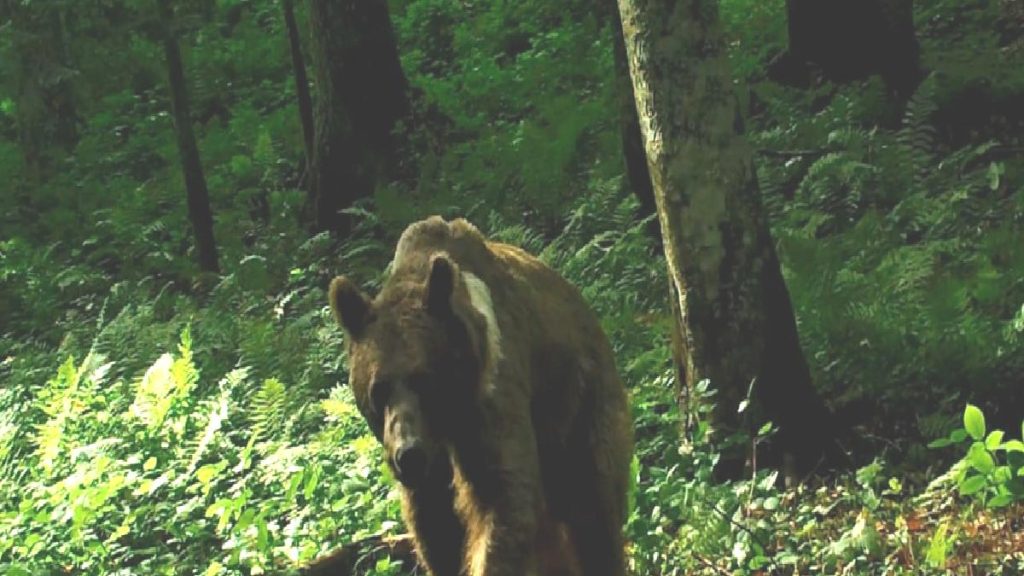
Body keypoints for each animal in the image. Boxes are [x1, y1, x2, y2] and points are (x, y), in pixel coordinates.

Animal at [327, 216, 630, 573]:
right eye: (379, 389)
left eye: (425, 380)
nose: (408, 453)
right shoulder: (429, 474)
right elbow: (437, 529)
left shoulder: (491, 396)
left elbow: (502, 496)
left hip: (580, 404)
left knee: (593, 508)